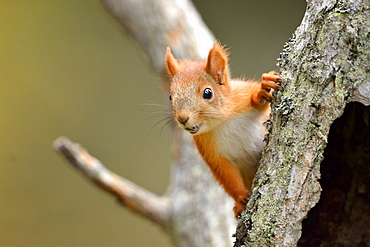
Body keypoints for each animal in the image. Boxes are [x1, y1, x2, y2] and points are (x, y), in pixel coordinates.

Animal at [165, 43, 280, 217]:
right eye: (171, 97)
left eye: (207, 92)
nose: (182, 118)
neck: (221, 122)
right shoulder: (211, 152)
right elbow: (226, 175)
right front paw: (240, 200)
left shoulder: (241, 97)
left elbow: (260, 104)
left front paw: (262, 90)